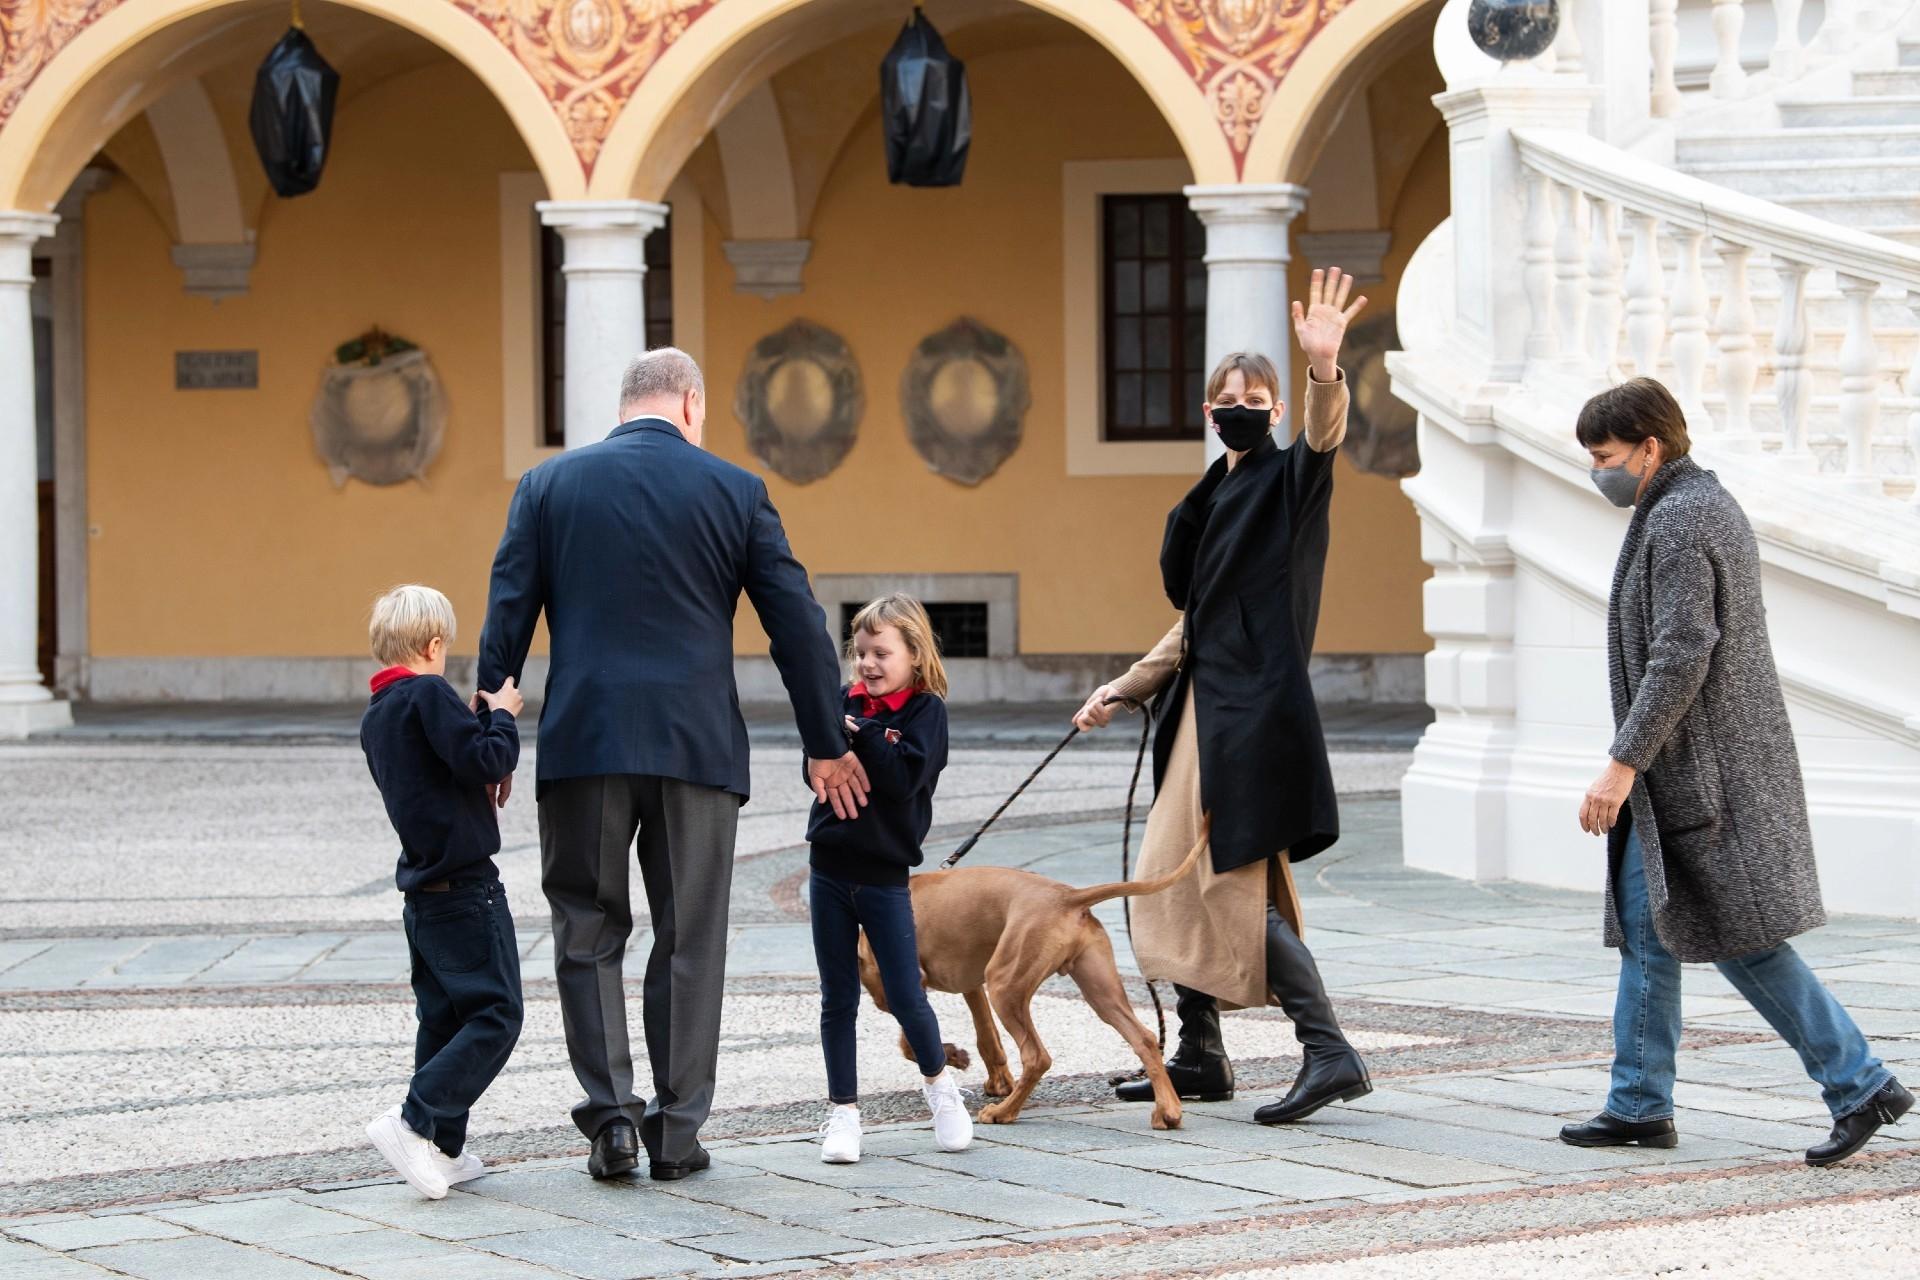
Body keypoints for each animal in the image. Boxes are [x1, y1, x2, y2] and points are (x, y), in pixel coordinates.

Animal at [860, 821, 1205, 1128]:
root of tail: (1068, 895)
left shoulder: (901, 987)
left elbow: (909, 1041)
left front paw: (950, 1056)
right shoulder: (972, 986)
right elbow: (986, 1036)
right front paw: (987, 1075)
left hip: (1005, 985)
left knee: (1037, 1056)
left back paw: (1003, 1113)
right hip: (1099, 991)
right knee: (1144, 1038)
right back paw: (1168, 1111)